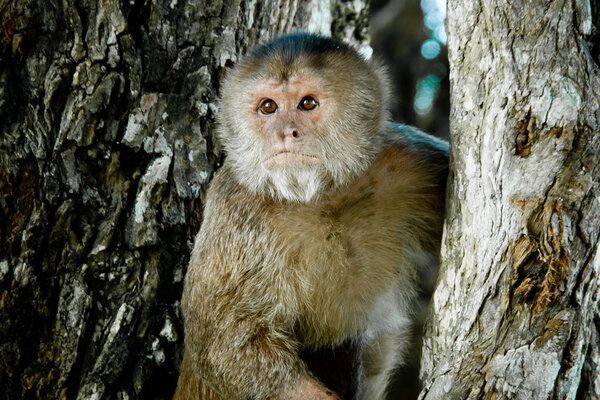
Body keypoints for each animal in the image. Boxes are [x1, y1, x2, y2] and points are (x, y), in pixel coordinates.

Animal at [171, 32, 448, 400]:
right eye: (269, 107)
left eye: (307, 104)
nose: (286, 133)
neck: (321, 196)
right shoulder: (235, 205)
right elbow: (222, 344)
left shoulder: (407, 163)